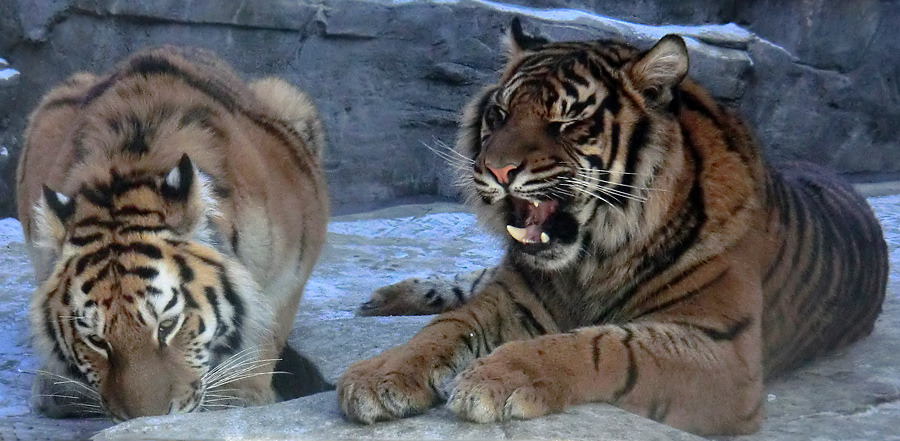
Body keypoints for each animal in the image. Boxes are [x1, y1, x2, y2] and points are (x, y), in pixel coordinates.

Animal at [16, 46, 332, 421]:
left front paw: (242, 396)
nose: (145, 420)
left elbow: (267, 325)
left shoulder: (296, 258)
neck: (127, 169)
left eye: (167, 326)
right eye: (96, 340)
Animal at [338, 18, 888, 436]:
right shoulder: (513, 295)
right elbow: (448, 326)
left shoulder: (724, 351)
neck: (593, 257)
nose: (496, 170)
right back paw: (386, 297)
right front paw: (379, 376)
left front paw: (497, 376)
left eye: (565, 122)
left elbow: (604, 345)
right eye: (499, 113)